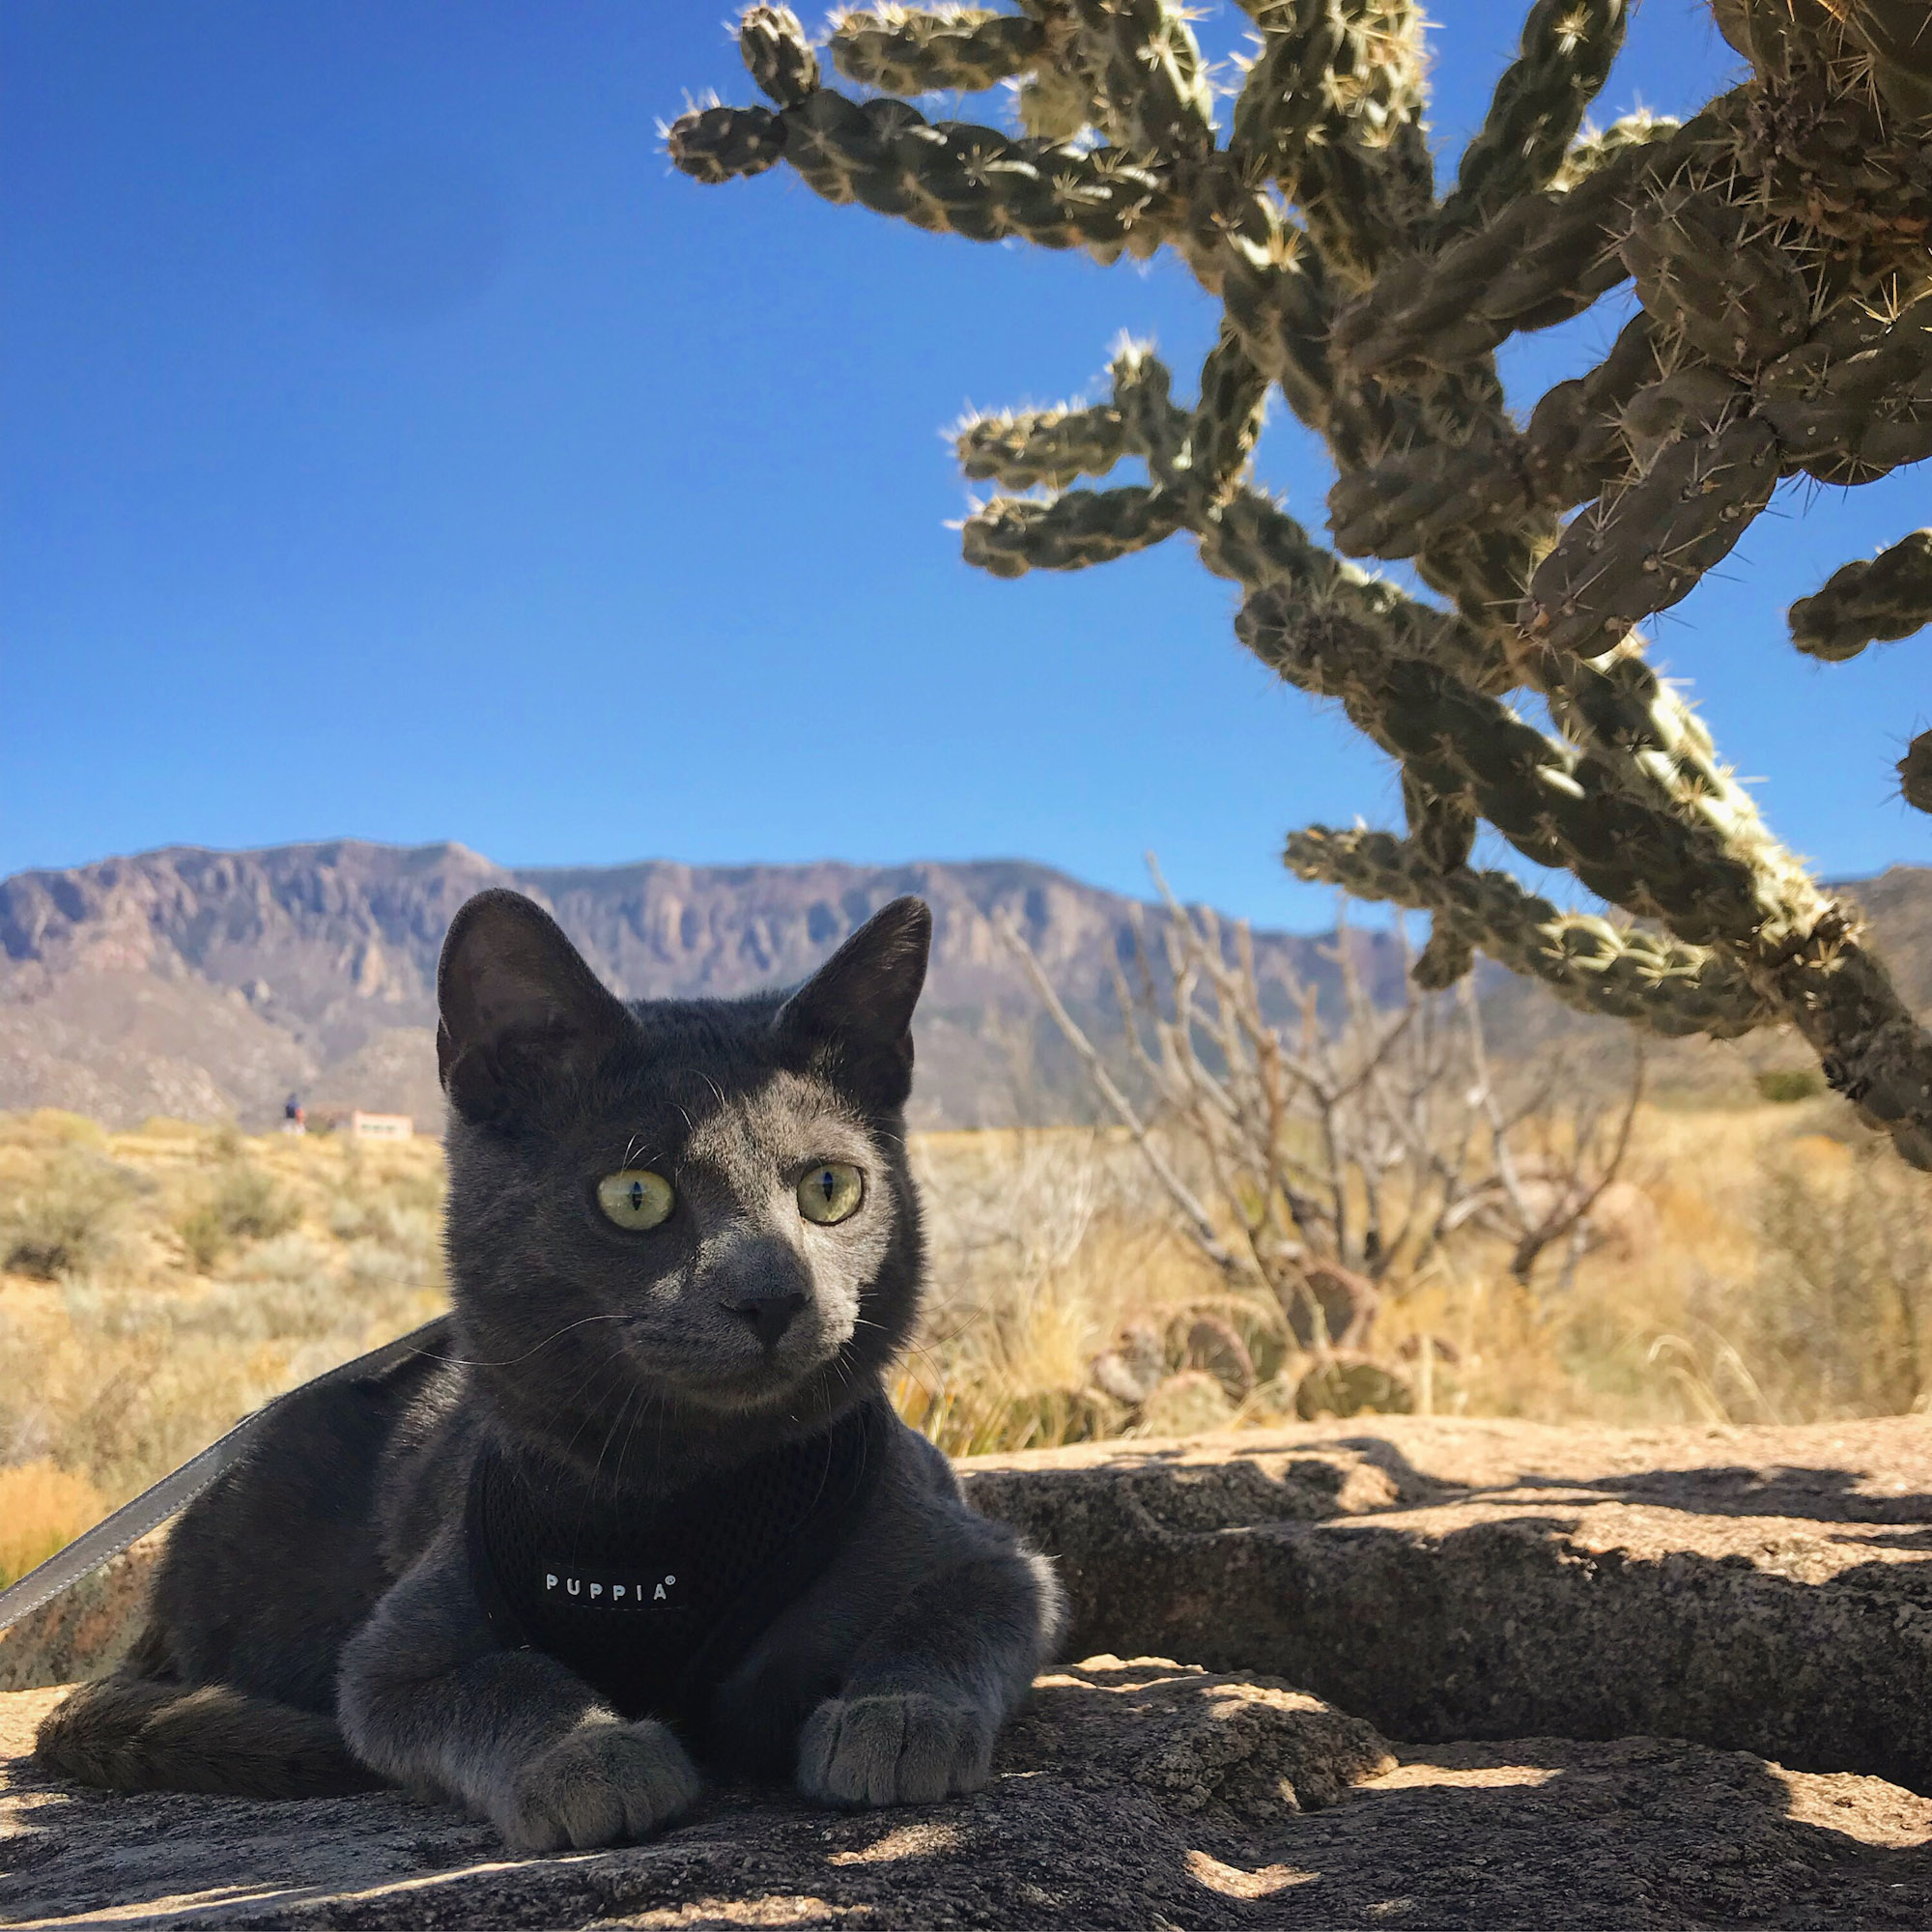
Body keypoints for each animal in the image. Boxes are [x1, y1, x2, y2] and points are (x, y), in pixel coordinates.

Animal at [38, 885, 1066, 1847]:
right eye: (635, 1195)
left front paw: (895, 1718)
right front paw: (591, 1756)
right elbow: (503, 1678)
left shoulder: (982, 1552)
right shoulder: (397, 1653)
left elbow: (948, 1614)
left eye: (830, 1188)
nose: (773, 1294)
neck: (676, 1493)